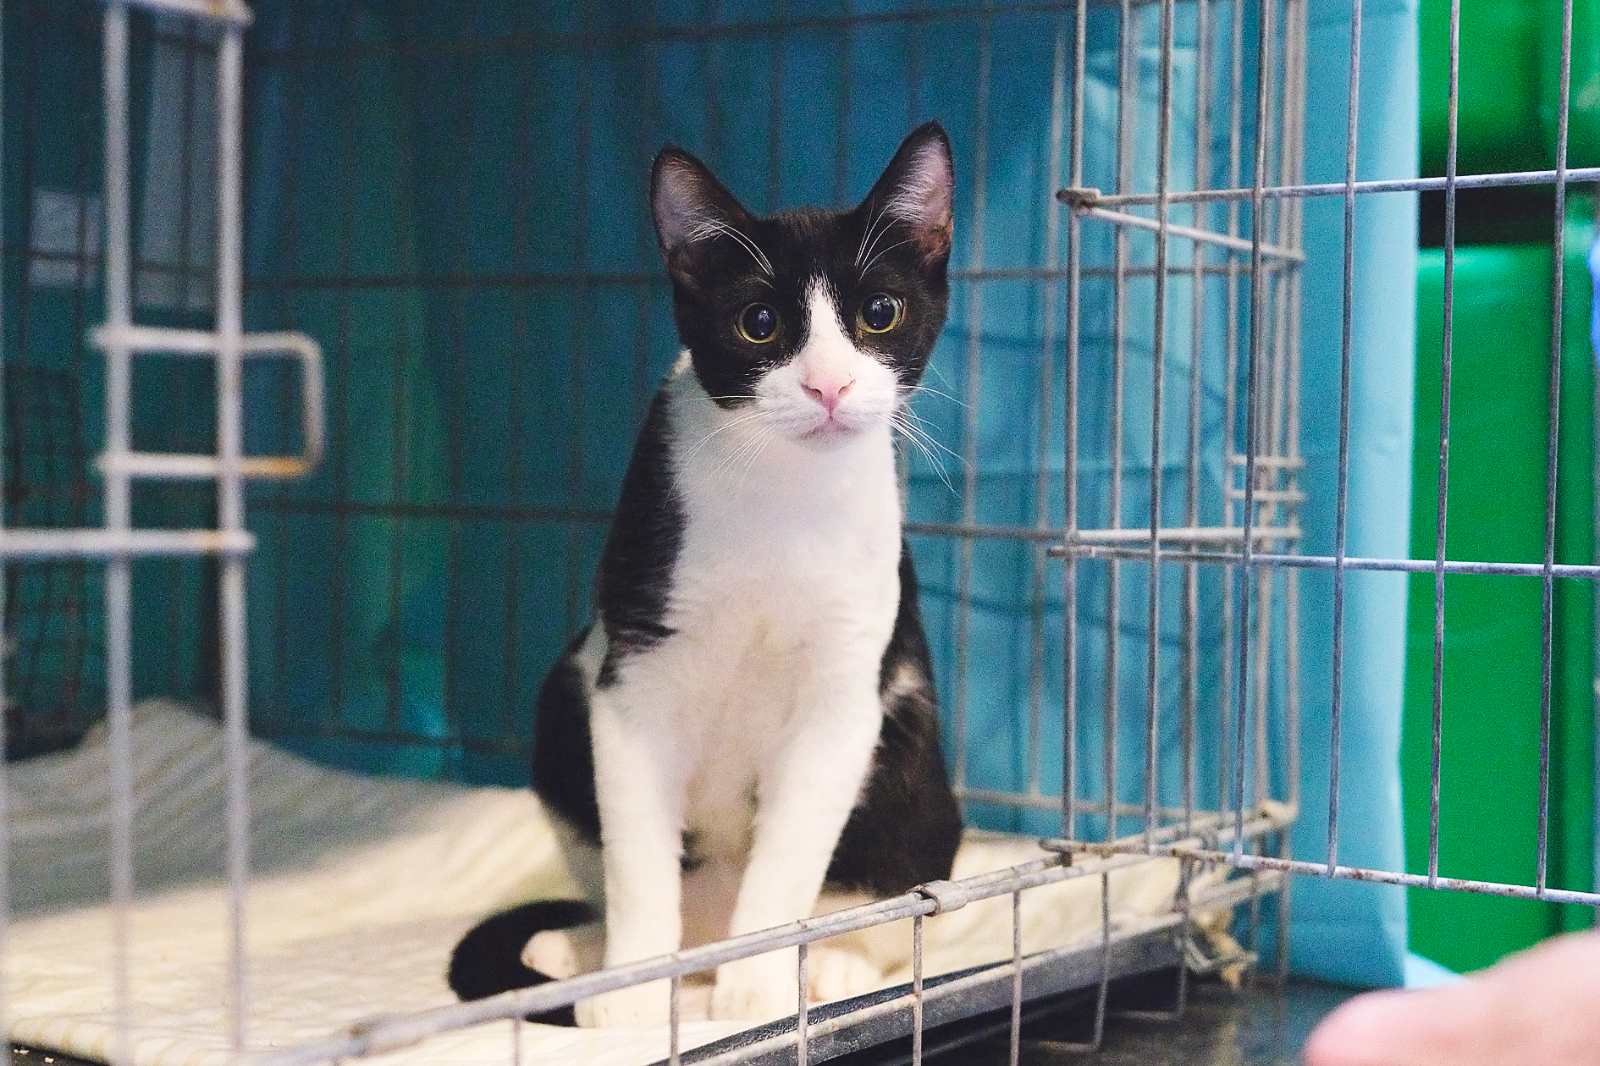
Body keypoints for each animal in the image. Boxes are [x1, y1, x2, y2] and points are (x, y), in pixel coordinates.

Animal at [451, 122, 963, 1028]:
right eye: (758, 323)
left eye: (880, 312)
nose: (828, 385)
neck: (779, 498)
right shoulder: (632, 674)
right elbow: (638, 859)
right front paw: (631, 985)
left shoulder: (844, 695)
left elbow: (790, 857)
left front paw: (758, 982)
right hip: (564, 703)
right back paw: (577, 952)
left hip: (914, 779)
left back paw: (831, 964)